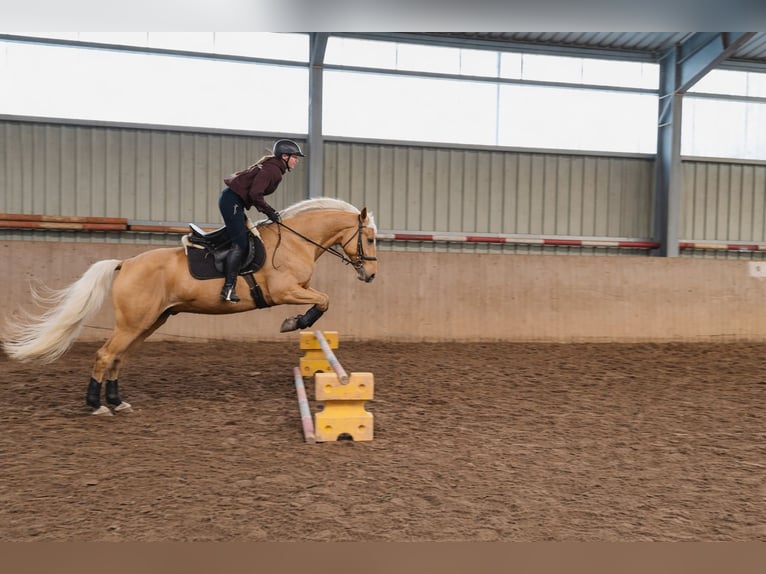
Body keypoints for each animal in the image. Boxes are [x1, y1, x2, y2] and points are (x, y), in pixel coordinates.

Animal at [2, 197, 378, 415]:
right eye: (371, 238)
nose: (371, 275)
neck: (294, 241)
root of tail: (125, 263)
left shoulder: (300, 289)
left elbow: (321, 299)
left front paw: (298, 321)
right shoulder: (284, 291)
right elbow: (323, 301)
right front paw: (294, 323)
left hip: (150, 322)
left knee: (119, 357)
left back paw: (117, 401)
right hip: (133, 323)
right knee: (106, 355)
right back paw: (96, 406)